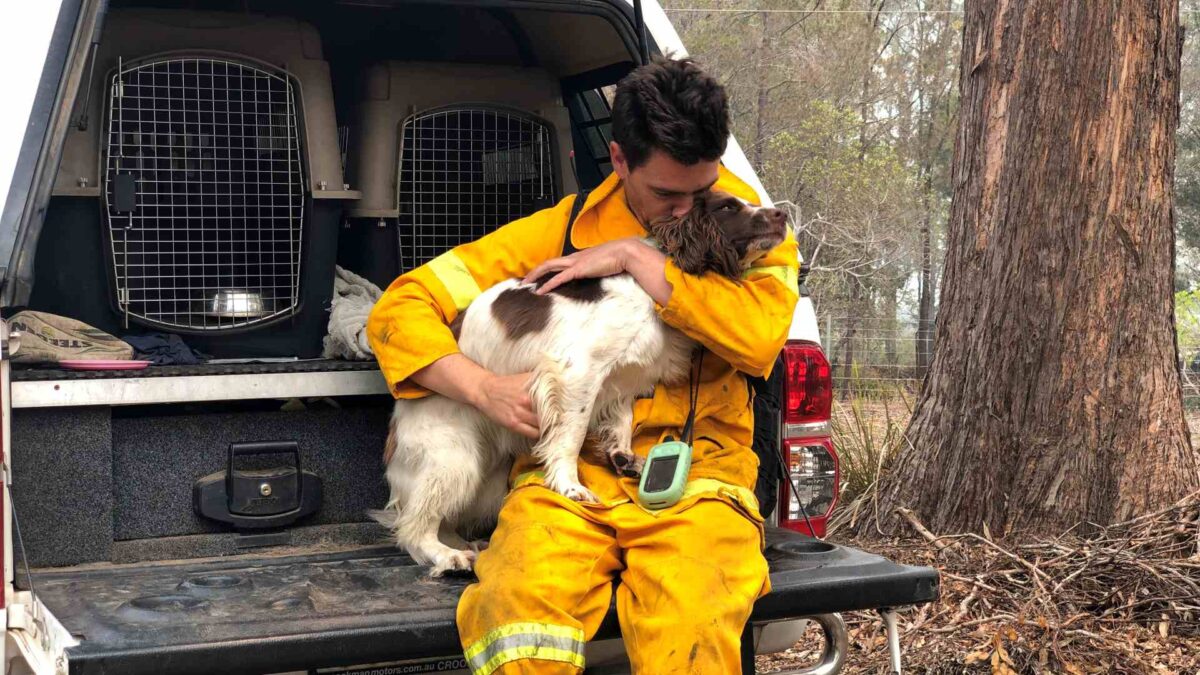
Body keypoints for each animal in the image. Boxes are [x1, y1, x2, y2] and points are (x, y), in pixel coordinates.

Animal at [372, 189, 787, 571]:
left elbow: (621, 419)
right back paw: (447, 555)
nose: (782, 214)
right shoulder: (577, 370)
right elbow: (570, 436)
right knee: (413, 528)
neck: (647, 286)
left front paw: (623, 457)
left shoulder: (619, 381)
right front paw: (570, 485)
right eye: (728, 207)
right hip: (454, 460)